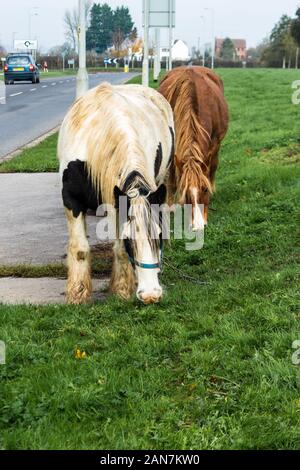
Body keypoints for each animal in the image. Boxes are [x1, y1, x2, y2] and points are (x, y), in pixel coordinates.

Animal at [57, 82, 175, 304]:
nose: (151, 295)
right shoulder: (72, 200)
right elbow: (80, 249)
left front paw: (121, 291)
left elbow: (119, 250)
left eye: (159, 235)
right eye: (130, 239)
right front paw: (78, 294)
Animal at [158, 66, 229, 229]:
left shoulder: (214, 145)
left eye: (204, 189)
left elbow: (209, 170)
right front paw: (170, 206)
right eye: (185, 192)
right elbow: (171, 178)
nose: (198, 226)